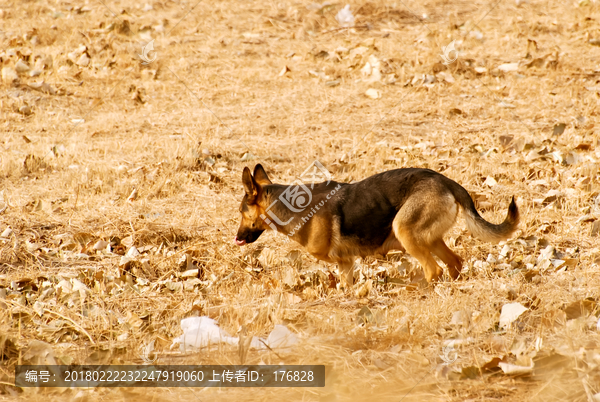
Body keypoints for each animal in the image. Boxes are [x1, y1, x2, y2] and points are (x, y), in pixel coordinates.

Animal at [236, 165, 520, 288]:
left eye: (240, 213)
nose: (236, 238)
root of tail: (446, 181)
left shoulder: (342, 261)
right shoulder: (345, 263)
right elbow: (346, 287)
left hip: (405, 232)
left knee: (434, 270)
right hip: (430, 239)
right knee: (455, 262)